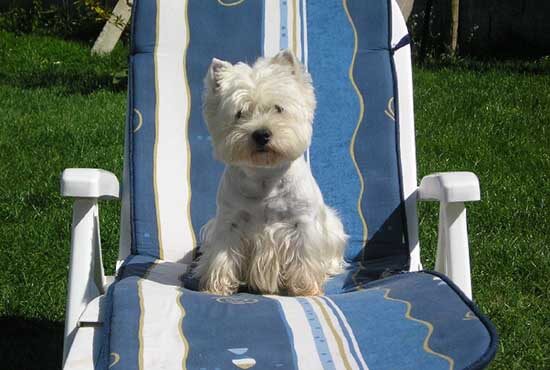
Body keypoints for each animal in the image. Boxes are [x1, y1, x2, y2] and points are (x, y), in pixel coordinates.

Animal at [196, 49, 348, 298]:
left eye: (278, 108)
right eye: (240, 113)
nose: (261, 134)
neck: (265, 177)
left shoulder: (302, 224)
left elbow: (304, 258)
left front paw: (305, 289)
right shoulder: (229, 222)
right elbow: (223, 255)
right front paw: (217, 287)